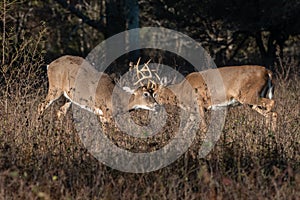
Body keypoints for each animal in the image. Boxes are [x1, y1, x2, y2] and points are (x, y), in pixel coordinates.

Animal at [149, 65, 278, 131]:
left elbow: (204, 126)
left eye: (154, 94)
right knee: (271, 113)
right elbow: (185, 130)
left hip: (249, 95)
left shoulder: (200, 103)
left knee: (272, 104)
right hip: (253, 100)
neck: (181, 92)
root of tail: (267, 71)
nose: (153, 106)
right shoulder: (192, 111)